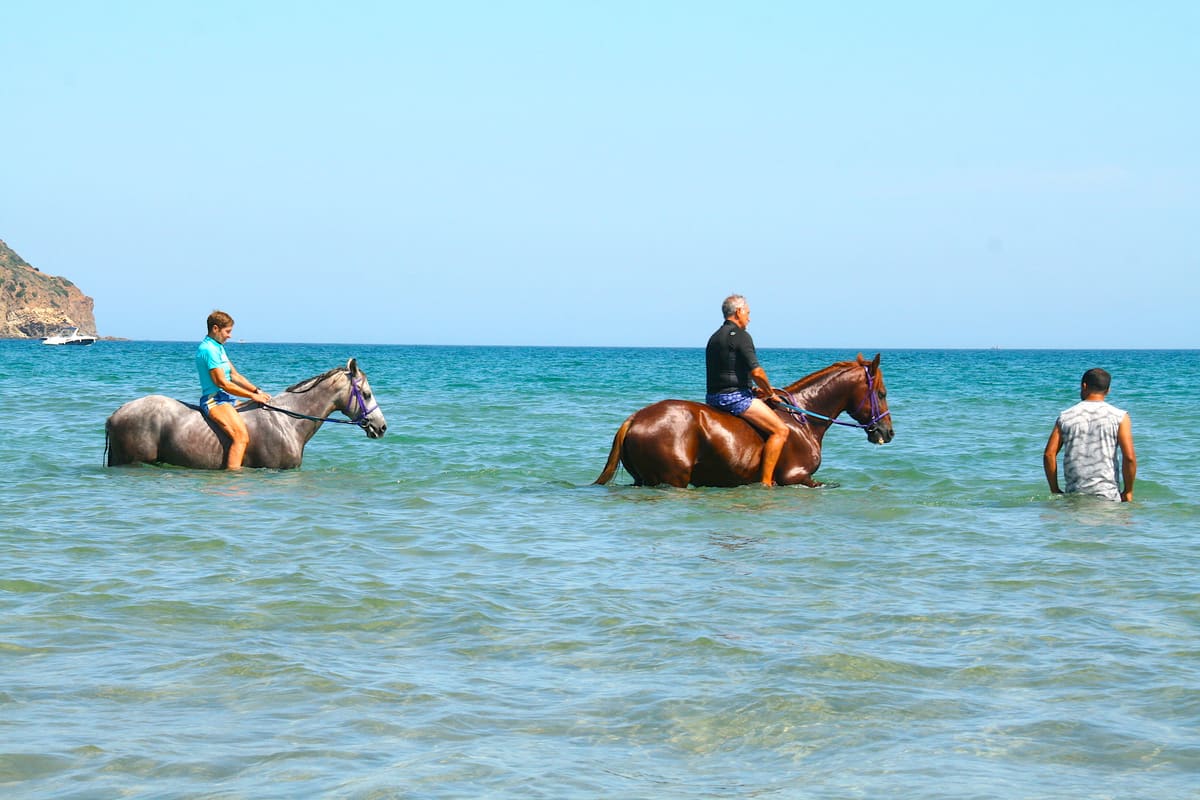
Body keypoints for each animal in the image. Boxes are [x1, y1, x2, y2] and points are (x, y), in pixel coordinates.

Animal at [593, 353, 893, 488]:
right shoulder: (796, 477)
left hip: (643, 480)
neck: (804, 420)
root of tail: (636, 418)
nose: (887, 432)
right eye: (881, 393)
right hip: (672, 478)